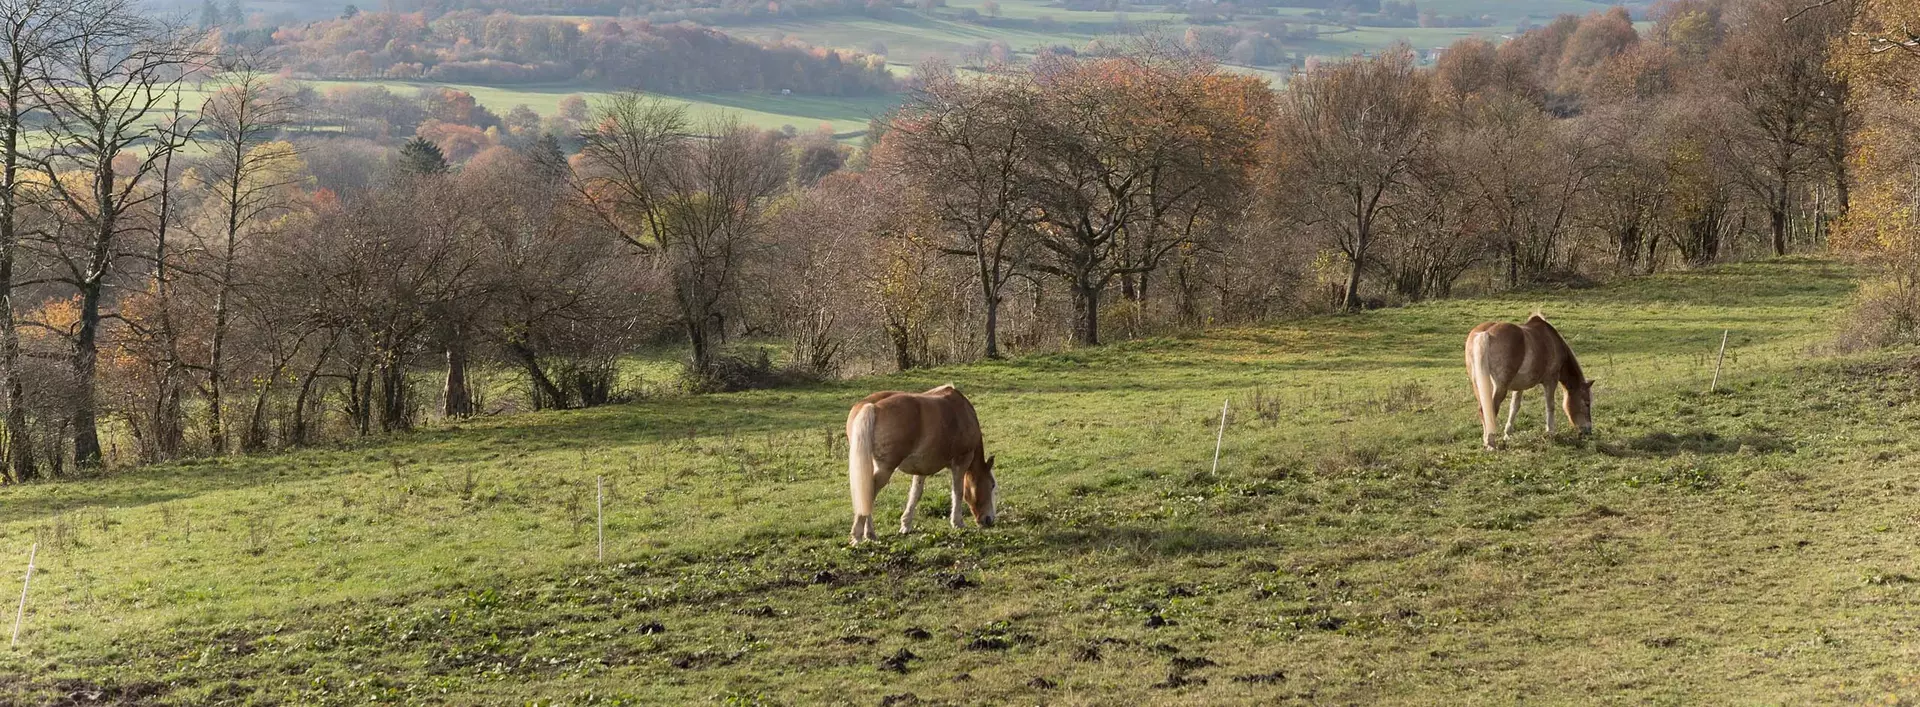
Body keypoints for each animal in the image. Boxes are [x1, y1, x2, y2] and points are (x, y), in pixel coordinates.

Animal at [844, 384, 998, 545]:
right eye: (992, 485)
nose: (989, 520)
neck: (963, 412)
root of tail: (872, 407)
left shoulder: (921, 469)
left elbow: (915, 494)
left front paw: (906, 524)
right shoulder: (961, 461)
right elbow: (958, 492)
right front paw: (957, 522)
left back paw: (869, 534)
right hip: (885, 469)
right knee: (868, 494)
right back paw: (861, 534)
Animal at [1459, 313, 1597, 449]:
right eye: (1587, 403)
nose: (1588, 430)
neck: (1552, 341)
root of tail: (1485, 333)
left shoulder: (1519, 387)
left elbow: (1514, 407)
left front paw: (1507, 434)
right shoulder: (1550, 380)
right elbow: (1550, 405)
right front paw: (1550, 432)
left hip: (1478, 385)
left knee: (1483, 409)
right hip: (1500, 387)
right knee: (1490, 410)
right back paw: (1491, 442)